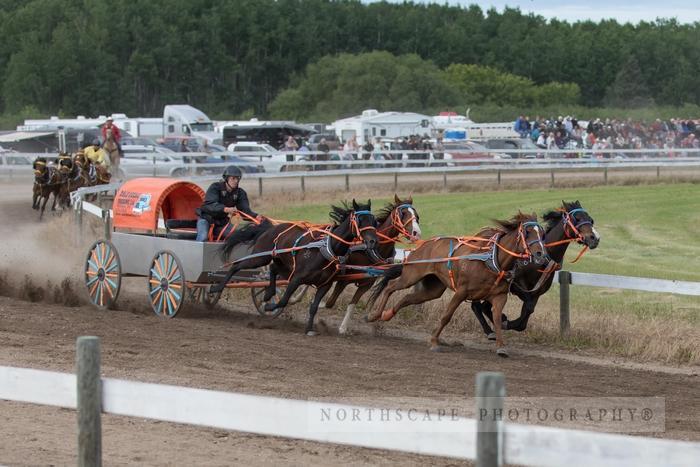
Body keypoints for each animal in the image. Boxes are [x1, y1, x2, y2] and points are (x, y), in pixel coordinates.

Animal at [215, 201, 378, 336]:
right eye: (360, 220)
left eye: (374, 221)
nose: (373, 241)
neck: (325, 249)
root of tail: (272, 227)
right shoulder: (296, 278)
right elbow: (284, 300)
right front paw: (269, 307)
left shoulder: (324, 285)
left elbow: (314, 307)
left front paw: (309, 329)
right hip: (260, 257)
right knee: (237, 266)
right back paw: (217, 289)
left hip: (282, 263)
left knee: (273, 269)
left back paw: (268, 293)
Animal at [322, 196, 422, 334]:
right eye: (403, 213)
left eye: (416, 214)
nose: (416, 233)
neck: (373, 249)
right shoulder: (344, 278)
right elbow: (330, 302)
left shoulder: (366, 284)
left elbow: (352, 304)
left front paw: (343, 327)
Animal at [470, 201, 596, 340]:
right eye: (576, 218)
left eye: (590, 219)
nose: (594, 238)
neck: (540, 260)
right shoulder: (516, 285)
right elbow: (527, 307)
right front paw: (505, 322)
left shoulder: (537, 292)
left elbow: (526, 314)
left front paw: (506, 321)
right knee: (476, 305)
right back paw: (489, 329)